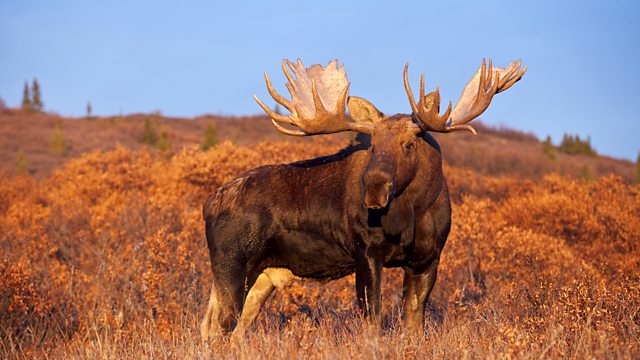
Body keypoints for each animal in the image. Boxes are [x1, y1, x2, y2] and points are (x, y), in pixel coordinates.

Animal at [200, 57, 524, 342]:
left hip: (262, 276)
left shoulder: (428, 258)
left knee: (226, 327)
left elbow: (414, 323)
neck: (414, 214)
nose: (374, 188)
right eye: (373, 146)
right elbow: (372, 319)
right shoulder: (366, 252)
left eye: (409, 144)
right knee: (218, 327)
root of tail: (208, 203)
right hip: (231, 264)